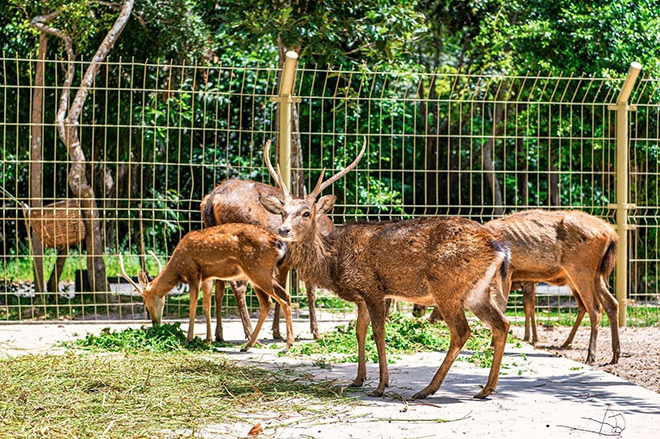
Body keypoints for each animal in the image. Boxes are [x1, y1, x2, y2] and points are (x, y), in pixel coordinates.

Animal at [117, 222, 296, 352]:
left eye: (146, 303)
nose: (155, 323)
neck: (177, 267)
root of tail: (279, 244)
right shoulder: (207, 278)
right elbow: (206, 305)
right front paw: (208, 339)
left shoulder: (193, 273)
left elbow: (193, 306)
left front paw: (189, 338)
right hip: (259, 274)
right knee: (274, 300)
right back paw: (247, 346)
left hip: (257, 270)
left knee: (281, 299)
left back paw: (287, 346)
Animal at [201, 145, 336, 344]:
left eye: (305, 212)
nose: (283, 230)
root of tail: (211, 199)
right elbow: (310, 291)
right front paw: (315, 333)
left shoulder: (285, 263)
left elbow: (282, 288)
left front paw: (277, 331)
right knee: (238, 286)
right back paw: (250, 336)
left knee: (219, 286)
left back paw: (218, 335)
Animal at [256, 139, 510, 400]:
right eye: (283, 212)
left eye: (306, 213)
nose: (283, 230)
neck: (334, 260)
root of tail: (499, 248)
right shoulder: (361, 296)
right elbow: (360, 331)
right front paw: (358, 379)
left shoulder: (373, 288)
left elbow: (378, 332)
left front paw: (381, 385)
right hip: (477, 292)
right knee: (502, 324)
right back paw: (486, 389)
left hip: (447, 287)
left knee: (461, 331)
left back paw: (428, 389)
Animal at [484, 211, 620, 366]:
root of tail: (611, 234)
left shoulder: (507, 273)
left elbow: (501, 306)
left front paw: (492, 344)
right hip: (595, 275)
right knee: (612, 304)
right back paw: (614, 355)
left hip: (581, 270)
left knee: (595, 309)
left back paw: (591, 356)